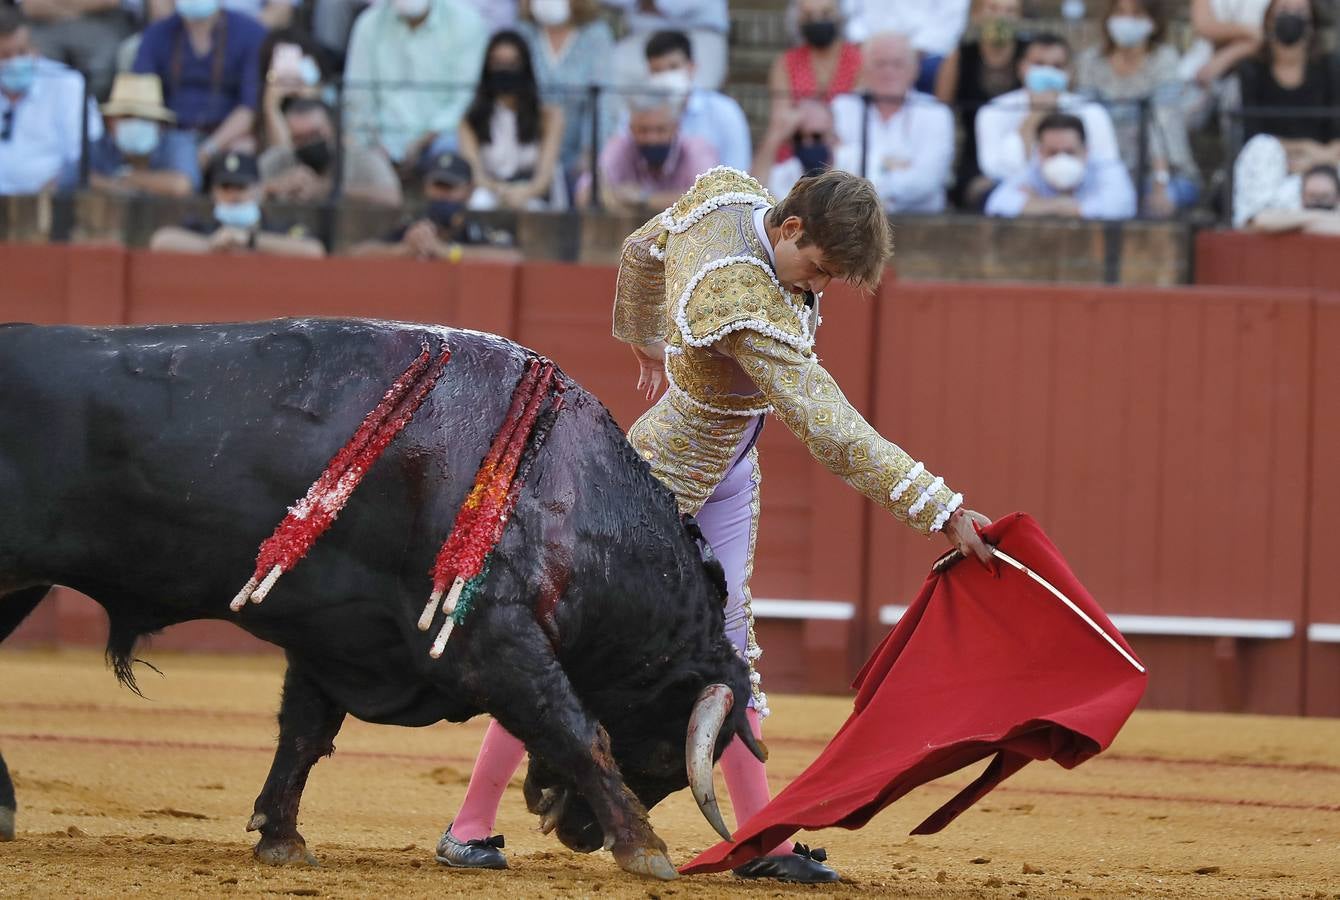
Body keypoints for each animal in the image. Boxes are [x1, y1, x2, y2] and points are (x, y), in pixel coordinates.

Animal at [0, 318, 766, 878]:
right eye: (668, 757)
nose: (577, 834)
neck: (568, 489)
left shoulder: (338, 636)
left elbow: (304, 733)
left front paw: (281, 839)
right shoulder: (491, 641)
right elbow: (577, 730)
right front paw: (647, 850)